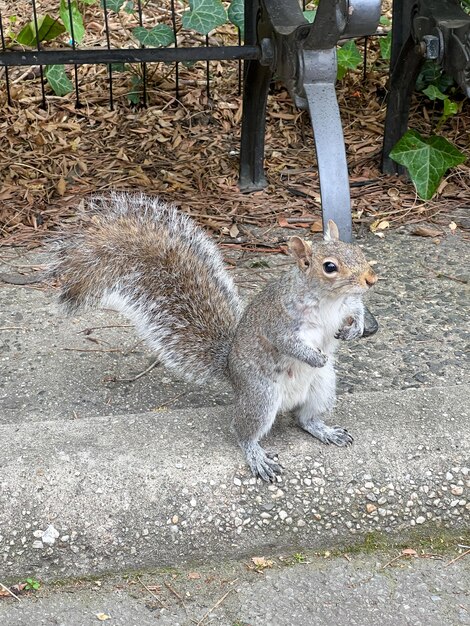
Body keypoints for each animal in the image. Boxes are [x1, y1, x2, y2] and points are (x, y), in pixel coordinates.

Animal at [49, 193, 378, 480]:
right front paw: (314, 355)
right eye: (330, 267)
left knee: (305, 419)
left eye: (358, 251)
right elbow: (287, 343)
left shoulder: (347, 304)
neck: (329, 300)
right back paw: (257, 456)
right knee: (242, 431)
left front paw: (356, 328)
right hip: (261, 397)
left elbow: (357, 309)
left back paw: (326, 431)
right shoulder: (280, 321)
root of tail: (231, 372)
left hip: (323, 388)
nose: (371, 279)